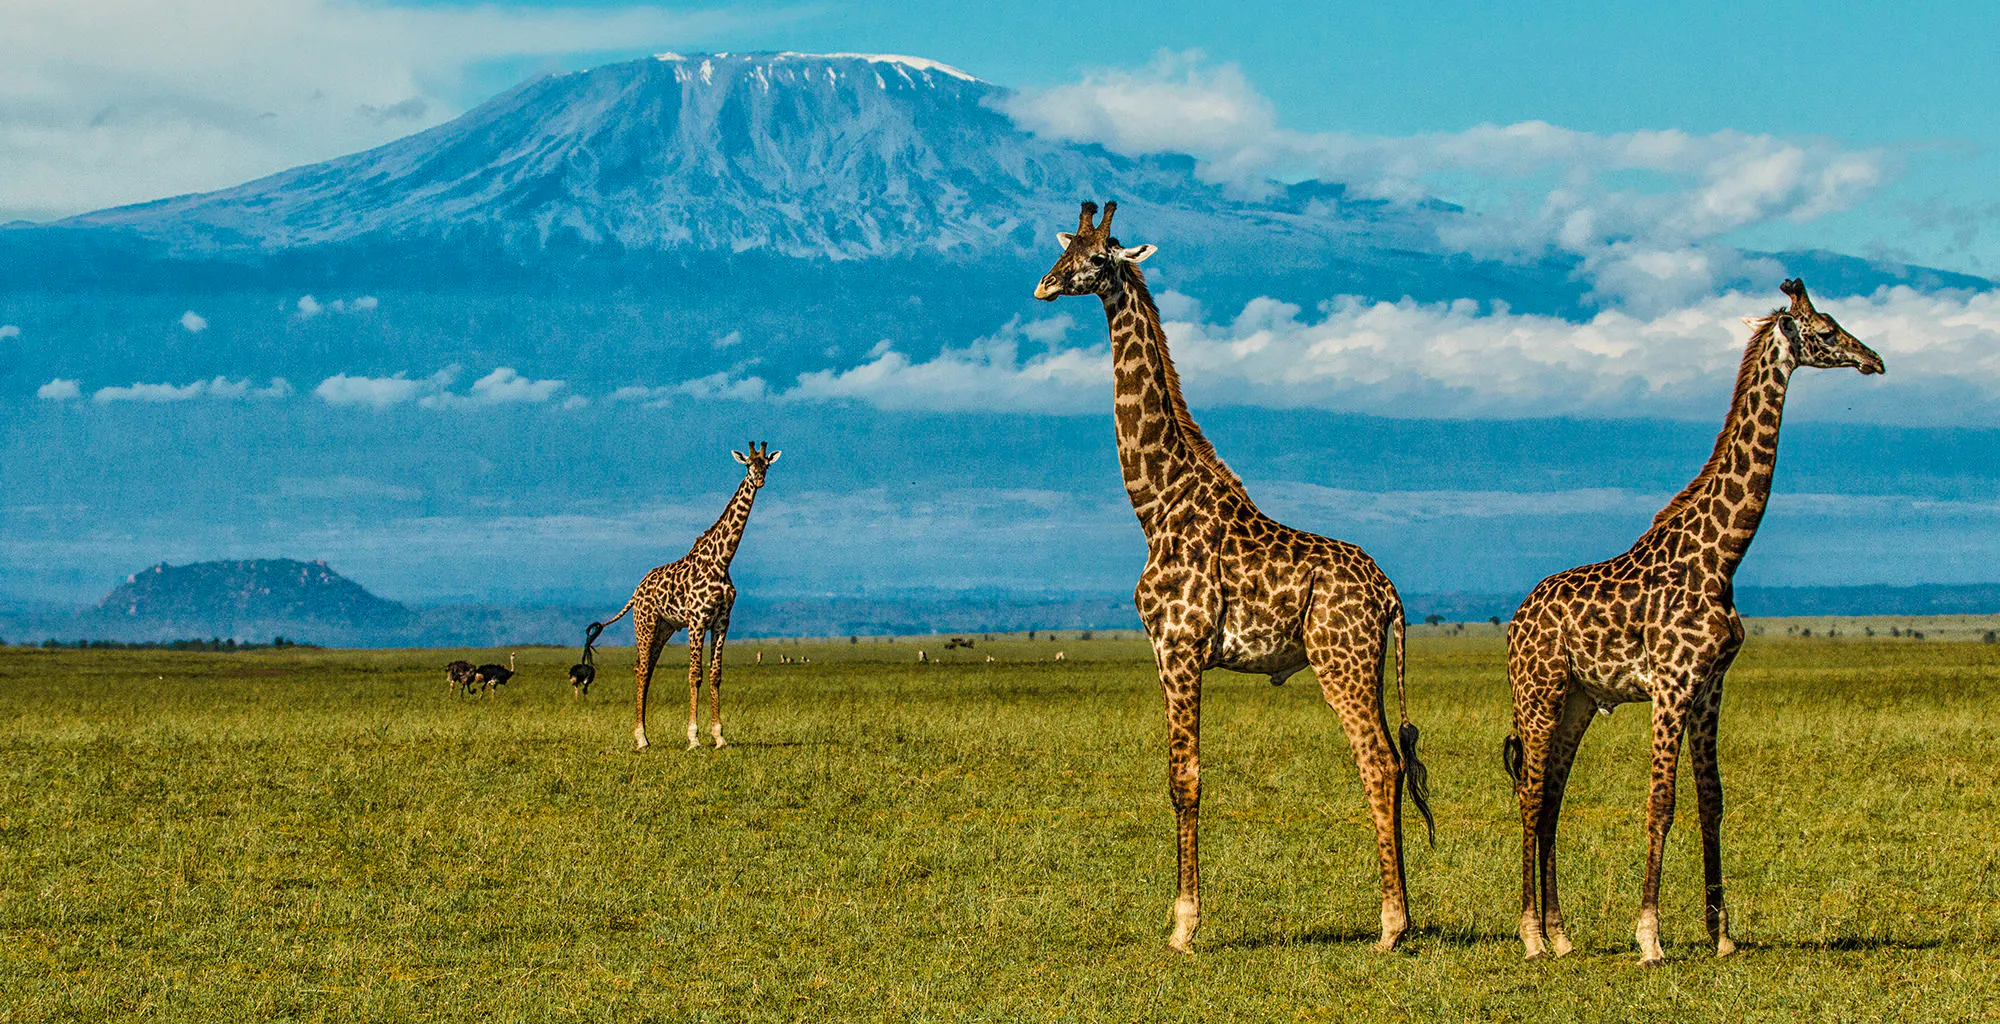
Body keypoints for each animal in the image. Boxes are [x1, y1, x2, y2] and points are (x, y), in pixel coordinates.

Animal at [590, 442, 780, 750]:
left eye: (766, 465)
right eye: (747, 465)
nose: (759, 480)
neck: (721, 561)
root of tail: (636, 591)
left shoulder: (722, 622)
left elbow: (715, 674)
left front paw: (719, 736)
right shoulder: (697, 621)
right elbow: (695, 675)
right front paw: (693, 738)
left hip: (664, 628)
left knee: (647, 669)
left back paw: (645, 735)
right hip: (645, 624)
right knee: (640, 669)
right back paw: (640, 738)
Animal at [1035, 201, 1434, 953]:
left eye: (1098, 258)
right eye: (1064, 248)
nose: (1044, 286)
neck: (1155, 503)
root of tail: (1392, 595)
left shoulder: (1178, 646)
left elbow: (1184, 777)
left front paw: (1184, 927)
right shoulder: (1170, 651)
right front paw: (1182, 918)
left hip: (1339, 661)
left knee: (1377, 760)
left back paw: (1392, 927)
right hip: (1365, 665)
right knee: (1394, 762)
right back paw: (1398, 918)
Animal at [1504, 279, 1882, 966]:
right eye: (1826, 331)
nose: (1875, 359)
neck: (1723, 555)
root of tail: (1517, 618)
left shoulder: (1710, 688)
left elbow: (1713, 801)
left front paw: (1722, 934)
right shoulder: (1672, 687)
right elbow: (1662, 802)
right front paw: (1650, 938)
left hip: (1576, 700)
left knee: (1552, 802)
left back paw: (1564, 935)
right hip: (1538, 693)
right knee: (1531, 796)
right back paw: (1532, 937)